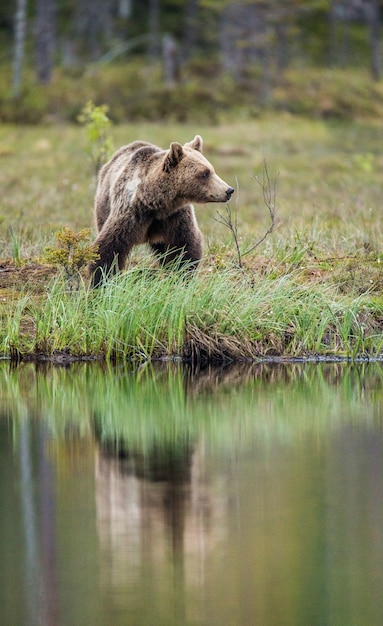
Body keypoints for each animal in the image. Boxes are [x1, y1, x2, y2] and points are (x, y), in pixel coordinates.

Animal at [89, 135, 234, 286]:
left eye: (211, 170)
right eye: (205, 173)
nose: (228, 190)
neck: (155, 204)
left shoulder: (175, 216)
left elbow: (185, 246)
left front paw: (182, 276)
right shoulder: (131, 213)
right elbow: (110, 246)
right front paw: (101, 281)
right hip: (103, 208)